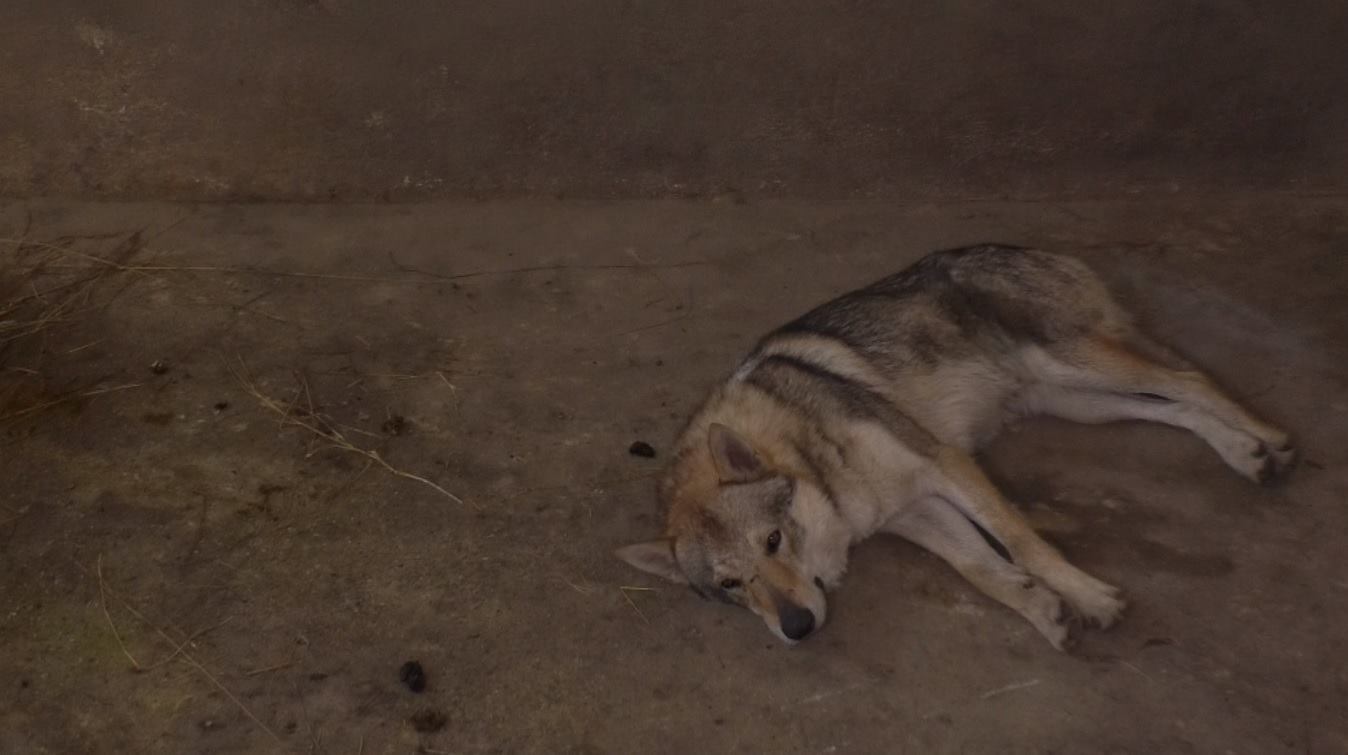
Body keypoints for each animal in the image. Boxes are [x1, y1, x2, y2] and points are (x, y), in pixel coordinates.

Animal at [616, 244, 1296, 650]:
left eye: (774, 541)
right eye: (731, 584)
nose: (798, 628)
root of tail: (1040, 248)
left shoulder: (946, 463)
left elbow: (1023, 541)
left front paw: (1089, 596)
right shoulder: (914, 512)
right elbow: (981, 569)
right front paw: (1043, 610)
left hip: (1079, 367)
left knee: (1191, 379)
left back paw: (1272, 441)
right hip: (1081, 401)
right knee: (1178, 407)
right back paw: (1245, 453)